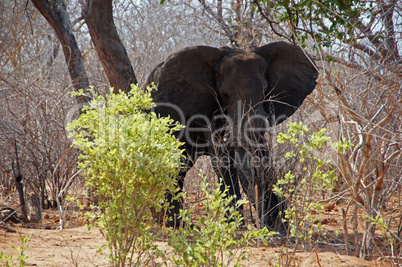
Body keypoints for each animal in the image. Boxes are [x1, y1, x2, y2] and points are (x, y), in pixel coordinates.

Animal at [146, 40, 318, 231]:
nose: (259, 223)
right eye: (224, 94)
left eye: (265, 90)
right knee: (175, 165)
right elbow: (222, 160)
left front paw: (280, 229)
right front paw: (237, 226)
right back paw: (178, 224)